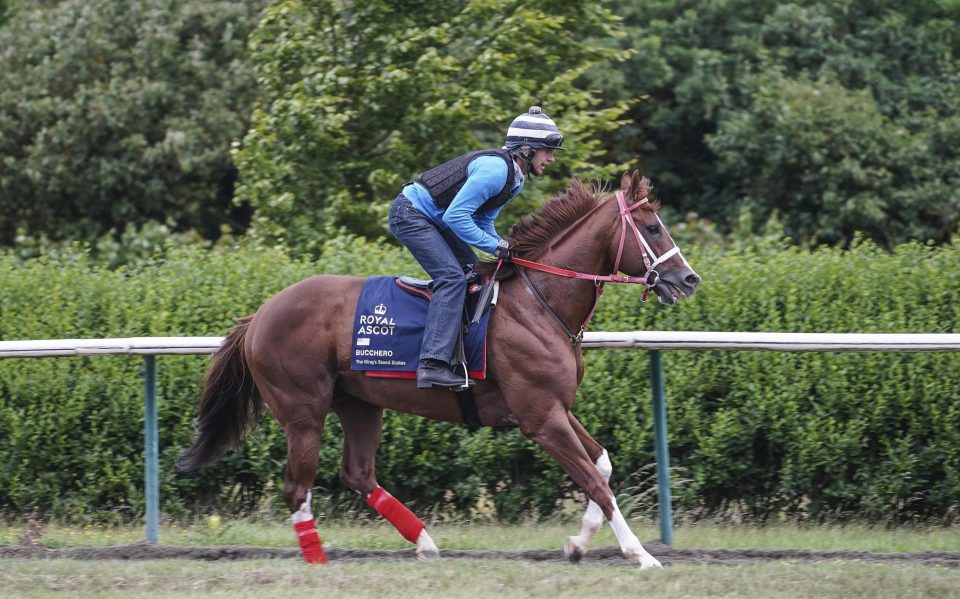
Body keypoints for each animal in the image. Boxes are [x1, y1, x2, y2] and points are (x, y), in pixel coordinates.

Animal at [178, 172, 696, 568]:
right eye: (652, 228)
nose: (689, 279)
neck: (540, 303)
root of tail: (258, 315)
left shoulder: (555, 407)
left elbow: (601, 465)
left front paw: (577, 544)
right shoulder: (540, 417)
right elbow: (595, 482)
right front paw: (641, 555)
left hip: (359, 404)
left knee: (358, 474)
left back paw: (424, 542)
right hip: (303, 411)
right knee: (297, 487)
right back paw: (319, 561)